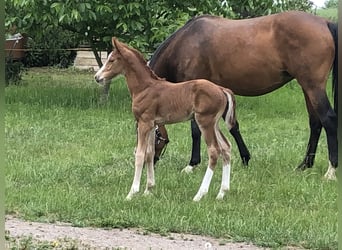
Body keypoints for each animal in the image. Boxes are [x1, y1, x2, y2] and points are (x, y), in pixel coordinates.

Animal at [94, 37, 238, 201]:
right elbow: (149, 153)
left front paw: (132, 193)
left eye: (111, 60)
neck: (144, 87)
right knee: (226, 147)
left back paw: (199, 195)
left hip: (205, 122)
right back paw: (222, 193)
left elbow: (140, 154)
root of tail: (221, 89)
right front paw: (148, 190)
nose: (97, 77)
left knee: (214, 151)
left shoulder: (144, 123)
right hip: (214, 124)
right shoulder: (152, 125)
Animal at [147, 10, 336, 179]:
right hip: (307, 87)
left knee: (328, 119)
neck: (184, 43)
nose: (151, 163)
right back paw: (304, 165)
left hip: (313, 86)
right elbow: (233, 126)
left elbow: (196, 130)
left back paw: (331, 171)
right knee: (315, 123)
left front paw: (191, 165)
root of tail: (324, 22)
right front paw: (245, 158)